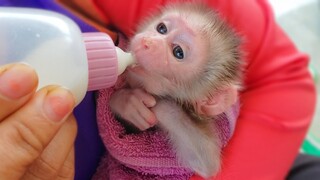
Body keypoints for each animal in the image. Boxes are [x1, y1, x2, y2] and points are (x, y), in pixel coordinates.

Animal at [110, 1, 242, 179]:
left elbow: (206, 162)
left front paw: (133, 104)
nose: (147, 42)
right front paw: (125, 101)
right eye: (162, 28)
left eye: (178, 52)